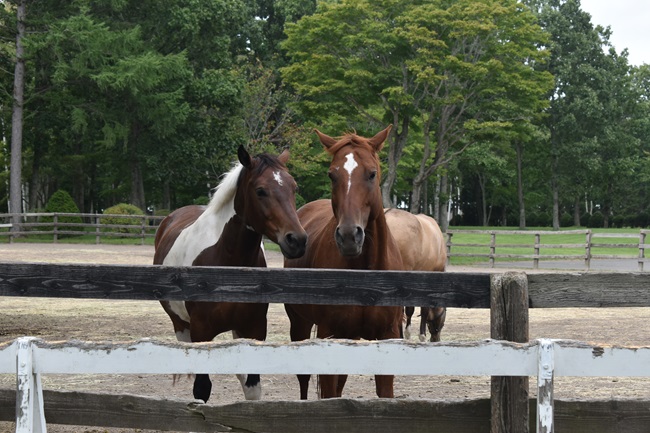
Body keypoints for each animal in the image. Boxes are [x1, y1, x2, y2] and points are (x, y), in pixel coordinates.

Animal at [153, 145, 306, 402]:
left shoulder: (254, 328)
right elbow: (201, 389)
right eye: (261, 190)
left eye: (293, 187)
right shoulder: (201, 331)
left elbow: (251, 386)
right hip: (180, 324)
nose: (297, 240)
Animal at [284, 125, 404, 398]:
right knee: (304, 382)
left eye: (372, 174)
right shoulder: (330, 334)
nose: (349, 236)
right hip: (300, 324)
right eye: (331, 175)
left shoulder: (388, 335)